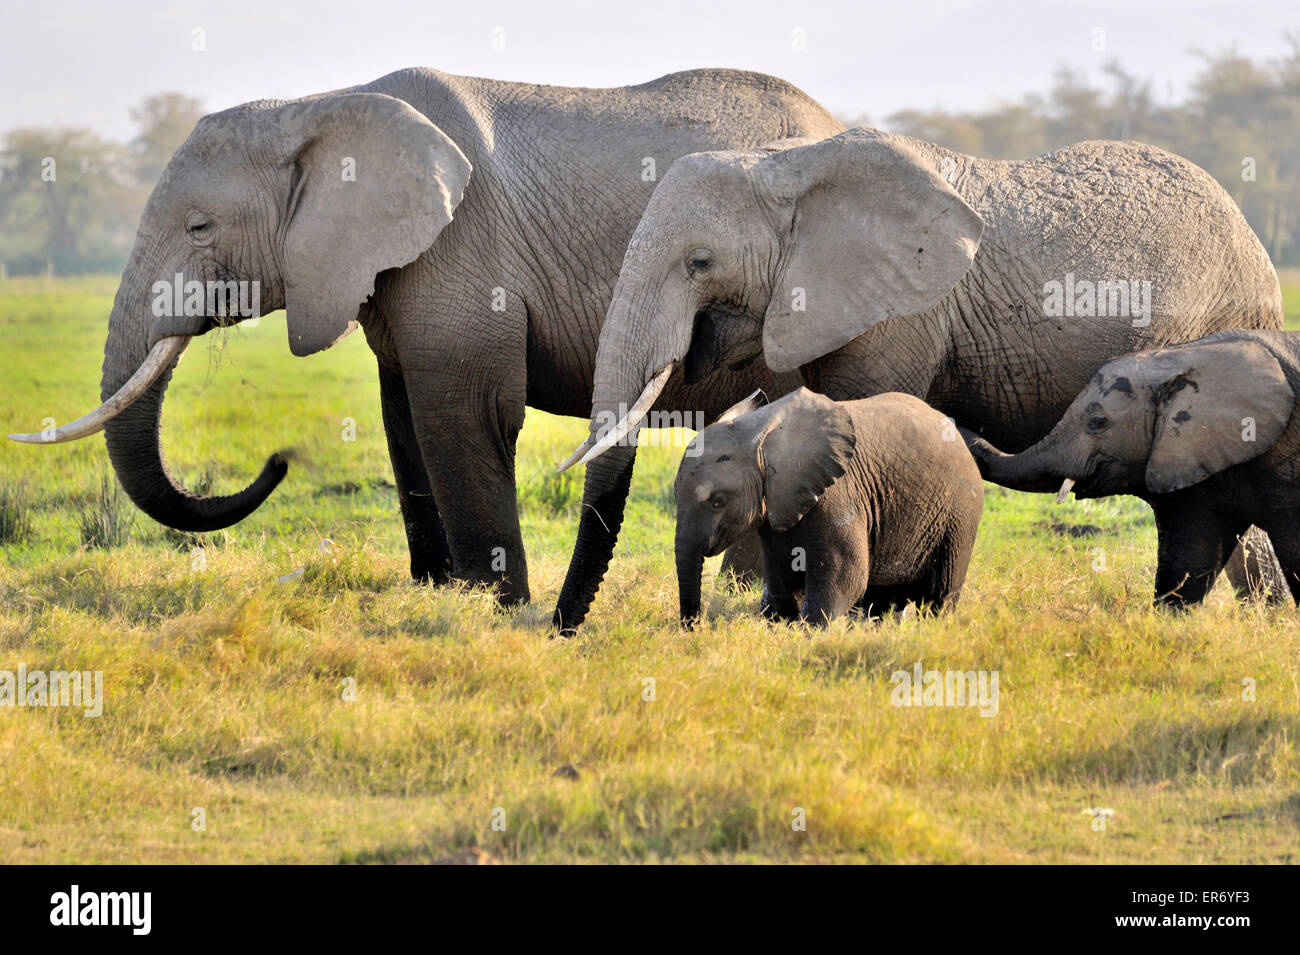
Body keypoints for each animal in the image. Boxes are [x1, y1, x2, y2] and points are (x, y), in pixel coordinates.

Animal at [676, 389, 977, 628]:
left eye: (718, 501)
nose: (694, 628)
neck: (762, 432)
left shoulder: (840, 492)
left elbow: (845, 576)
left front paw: (807, 633)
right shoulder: (777, 506)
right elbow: (783, 577)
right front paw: (781, 626)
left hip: (959, 514)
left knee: (940, 594)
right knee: (880, 598)